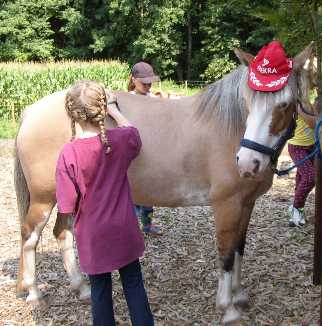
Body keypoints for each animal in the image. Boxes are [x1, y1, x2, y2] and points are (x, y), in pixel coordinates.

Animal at [14, 44, 312, 324]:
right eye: (248, 102)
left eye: (284, 104)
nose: (248, 163)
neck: (231, 128)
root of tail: (31, 111)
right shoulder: (227, 205)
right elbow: (226, 253)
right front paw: (228, 308)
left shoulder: (246, 204)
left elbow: (240, 248)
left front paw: (239, 296)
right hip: (43, 199)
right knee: (30, 237)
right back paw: (34, 294)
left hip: (66, 196)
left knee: (62, 233)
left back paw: (82, 288)